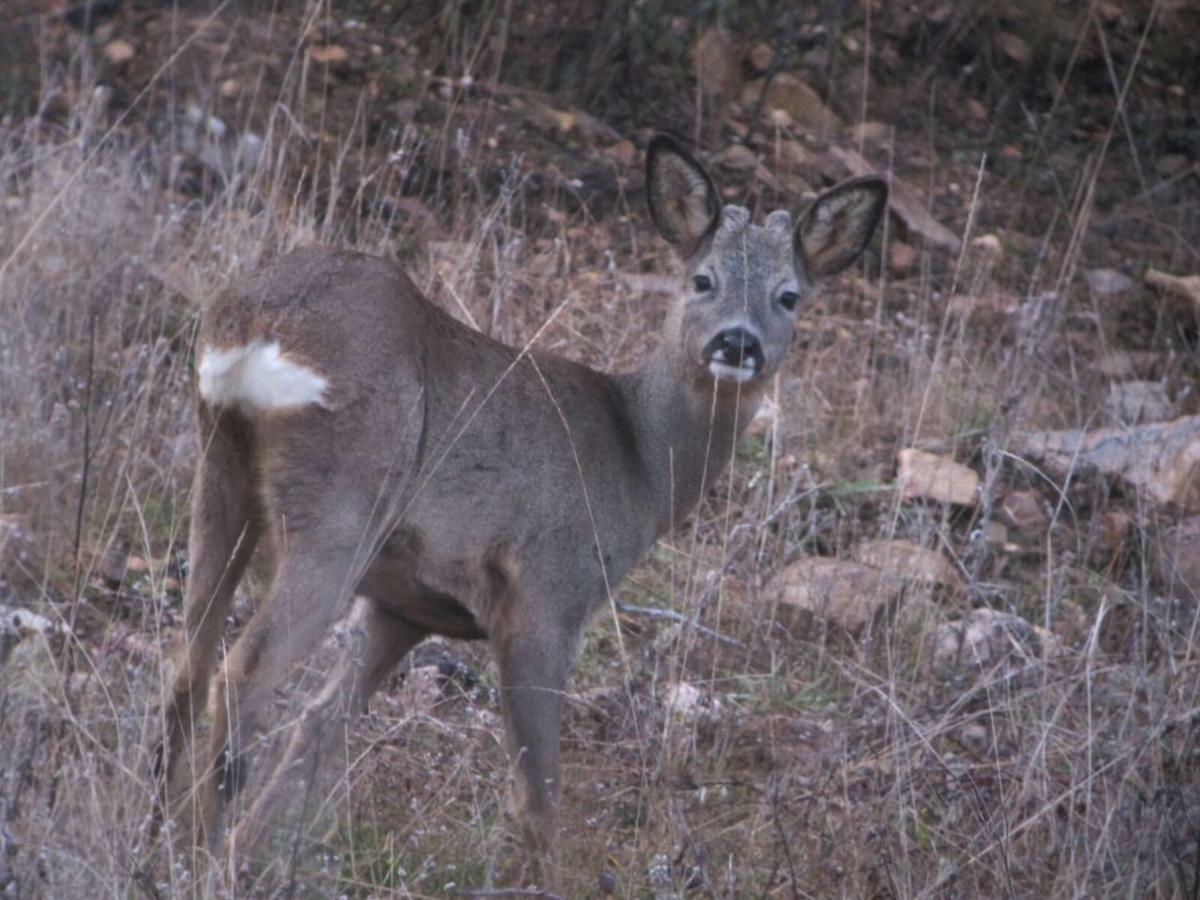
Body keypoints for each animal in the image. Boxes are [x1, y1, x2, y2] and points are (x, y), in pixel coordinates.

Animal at [159, 133, 888, 888]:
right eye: (702, 280)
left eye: (789, 296)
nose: (738, 343)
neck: (638, 460)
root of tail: (260, 325)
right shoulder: (548, 595)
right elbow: (538, 796)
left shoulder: (404, 606)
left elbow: (321, 723)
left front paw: (258, 854)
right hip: (341, 508)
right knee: (242, 669)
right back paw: (204, 857)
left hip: (222, 472)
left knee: (188, 660)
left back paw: (170, 845)